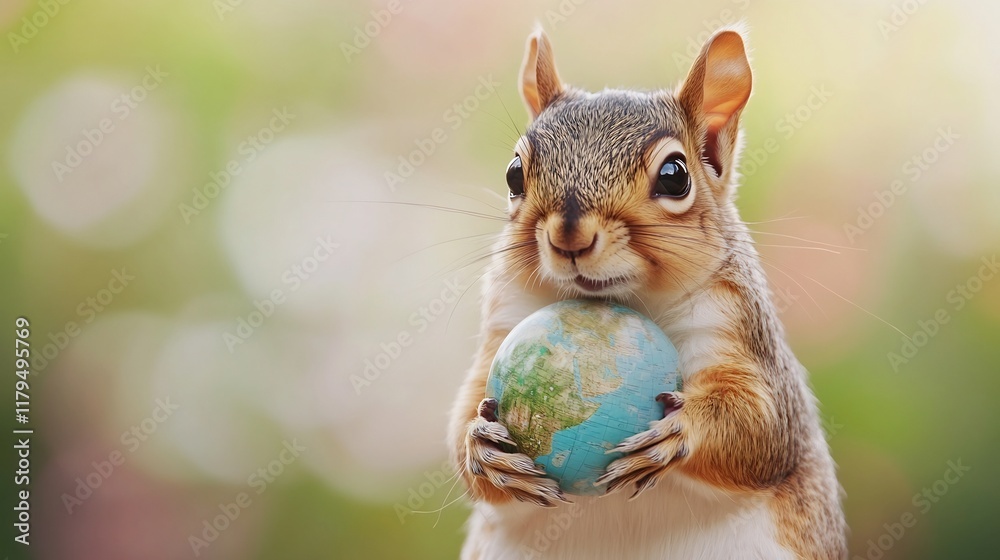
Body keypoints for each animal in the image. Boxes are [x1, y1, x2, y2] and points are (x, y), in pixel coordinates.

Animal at [447, 25, 848, 560]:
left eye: (675, 176)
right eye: (514, 174)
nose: (570, 238)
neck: (631, 300)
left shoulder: (737, 326)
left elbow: (764, 429)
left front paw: (684, 430)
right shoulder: (505, 321)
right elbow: (462, 423)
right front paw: (480, 446)